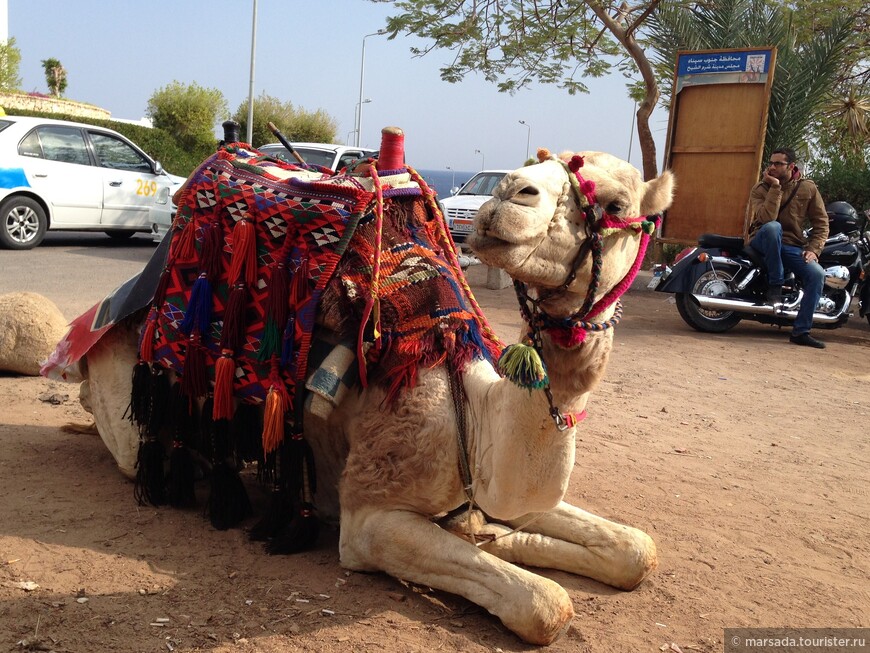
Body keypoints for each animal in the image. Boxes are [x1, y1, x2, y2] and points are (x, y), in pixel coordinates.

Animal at [44, 131, 676, 640]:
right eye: (530, 171)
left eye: (617, 204)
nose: (510, 194)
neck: (471, 411)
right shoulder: (370, 520)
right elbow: (546, 605)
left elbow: (637, 550)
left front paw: (497, 534)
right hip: (124, 383)